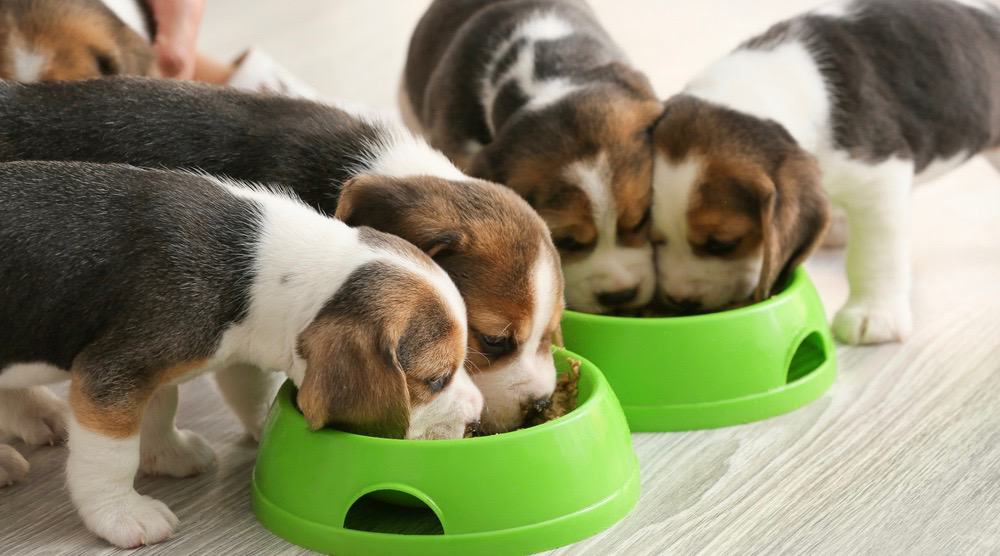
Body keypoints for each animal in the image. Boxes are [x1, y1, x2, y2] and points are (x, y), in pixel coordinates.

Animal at [0, 161, 484, 548]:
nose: (478, 415)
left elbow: (160, 407)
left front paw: (167, 453)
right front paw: (121, 514)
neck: (263, 271)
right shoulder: (113, 372)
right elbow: (112, 457)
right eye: (435, 380)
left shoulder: (151, 365)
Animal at [648, 0, 1000, 344]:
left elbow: (874, 253)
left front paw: (873, 314)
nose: (679, 301)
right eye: (653, 239)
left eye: (722, 244)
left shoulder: (880, 177)